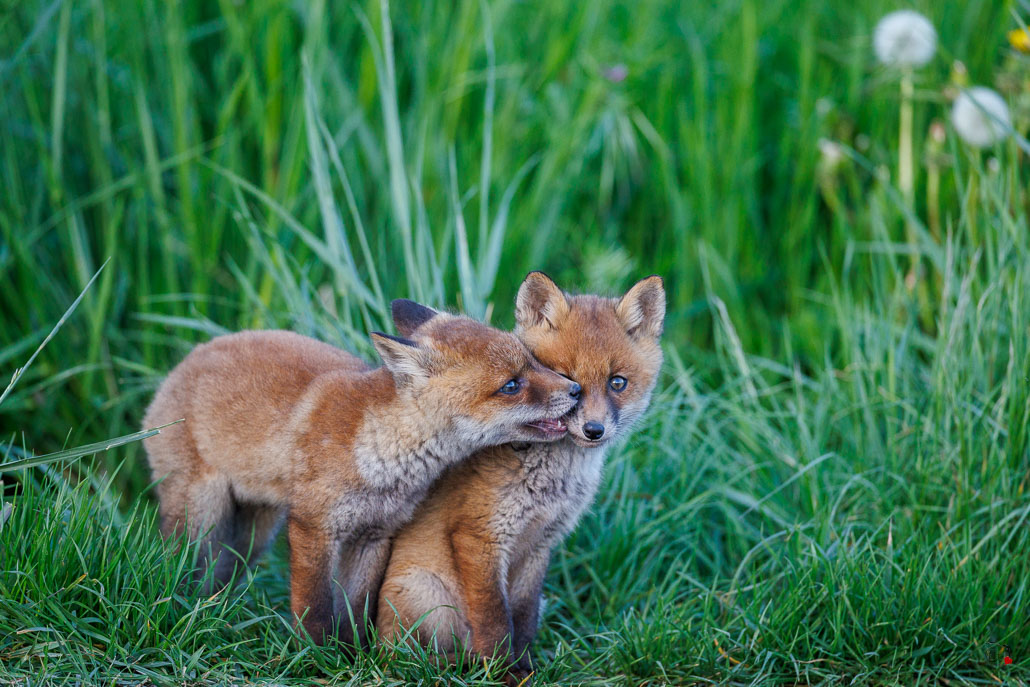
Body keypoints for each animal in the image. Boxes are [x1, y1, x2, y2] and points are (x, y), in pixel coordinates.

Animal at [141, 300, 580, 647]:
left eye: (534, 360)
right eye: (511, 385)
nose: (575, 391)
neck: (380, 455)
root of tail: (185, 360)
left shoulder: (375, 534)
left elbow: (355, 608)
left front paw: (353, 656)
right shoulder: (312, 527)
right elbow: (314, 606)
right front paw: (315, 658)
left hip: (256, 531)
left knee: (226, 570)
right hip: (202, 514)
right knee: (183, 563)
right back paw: (186, 608)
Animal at [376, 273, 665, 682]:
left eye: (617, 382)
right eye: (567, 377)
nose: (594, 430)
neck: (549, 486)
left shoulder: (540, 544)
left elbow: (523, 620)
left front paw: (527, 668)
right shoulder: (479, 537)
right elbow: (495, 621)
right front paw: (502, 673)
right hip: (428, 595)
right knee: (411, 658)